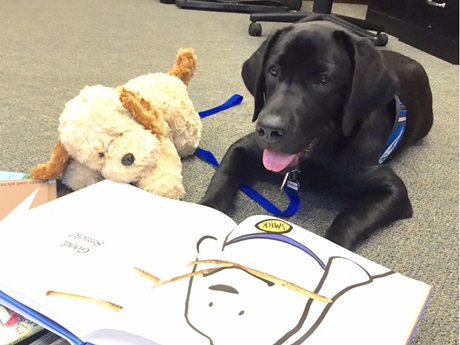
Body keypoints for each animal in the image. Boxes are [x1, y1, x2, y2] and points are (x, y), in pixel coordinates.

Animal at [199, 18, 434, 249]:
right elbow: (221, 180)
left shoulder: (392, 189)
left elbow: (351, 217)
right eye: (273, 70)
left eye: (323, 80)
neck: (319, 157)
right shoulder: (242, 148)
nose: (268, 130)